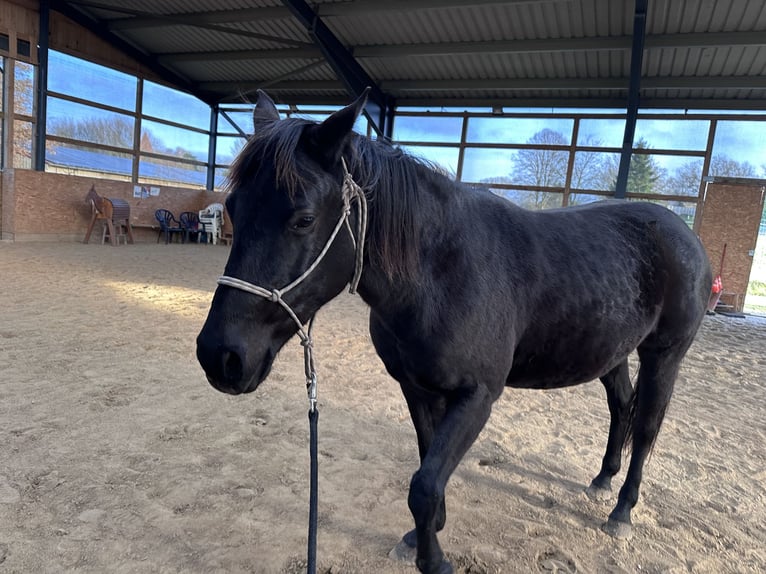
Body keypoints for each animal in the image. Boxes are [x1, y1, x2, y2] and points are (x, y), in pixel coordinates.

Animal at [196, 90, 712, 574]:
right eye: (233, 208)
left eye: (303, 219)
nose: (220, 356)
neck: (441, 272)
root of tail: (685, 234)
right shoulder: (417, 388)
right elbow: (428, 465)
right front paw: (423, 536)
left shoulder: (477, 396)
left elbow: (425, 485)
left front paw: (435, 559)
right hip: (613, 352)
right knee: (621, 406)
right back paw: (603, 480)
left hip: (664, 354)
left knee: (645, 426)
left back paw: (622, 511)